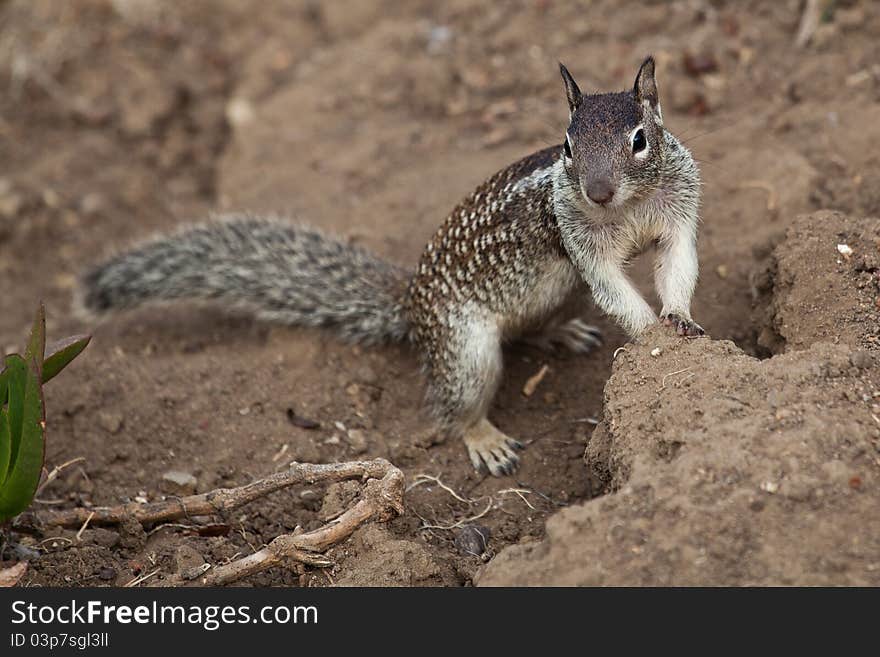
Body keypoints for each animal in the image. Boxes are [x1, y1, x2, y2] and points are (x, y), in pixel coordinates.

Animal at [81, 56, 700, 476]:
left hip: (554, 294)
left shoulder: (678, 213)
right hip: (466, 350)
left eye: (640, 140)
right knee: (454, 406)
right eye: (568, 146)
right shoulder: (581, 244)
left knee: (534, 327)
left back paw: (565, 332)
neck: (628, 207)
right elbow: (614, 288)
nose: (596, 191)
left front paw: (679, 319)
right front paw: (649, 336)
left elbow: (677, 264)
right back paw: (486, 440)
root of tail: (412, 306)